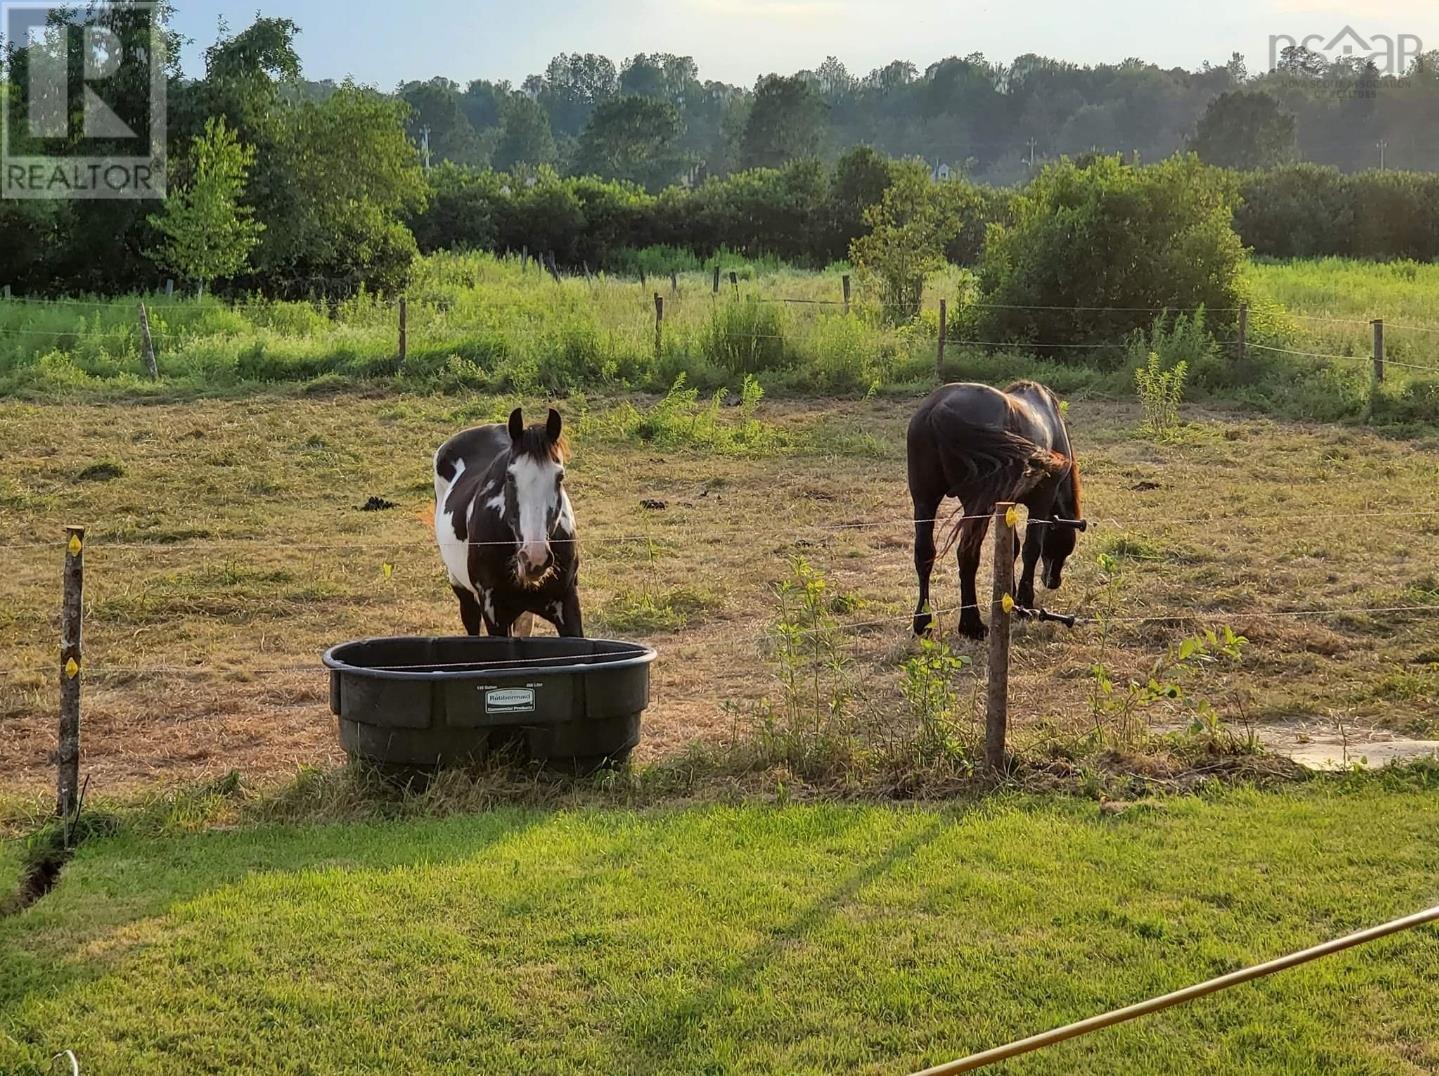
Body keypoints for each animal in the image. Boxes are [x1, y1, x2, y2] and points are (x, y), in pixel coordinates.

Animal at [431, 408, 584, 635]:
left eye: (560, 477)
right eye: (510, 477)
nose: (535, 558)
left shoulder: (567, 603)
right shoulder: (494, 612)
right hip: (460, 586)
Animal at [909, 379, 1082, 638]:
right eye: (1064, 545)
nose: (1053, 581)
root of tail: (940, 407)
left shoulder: (1008, 502)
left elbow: (1013, 548)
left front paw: (1009, 596)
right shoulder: (1041, 502)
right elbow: (1031, 548)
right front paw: (1025, 602)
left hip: (924, 500)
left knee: (924, 554)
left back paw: (922, 622)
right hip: (976, 506)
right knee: (967, 555)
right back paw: (972, 625)